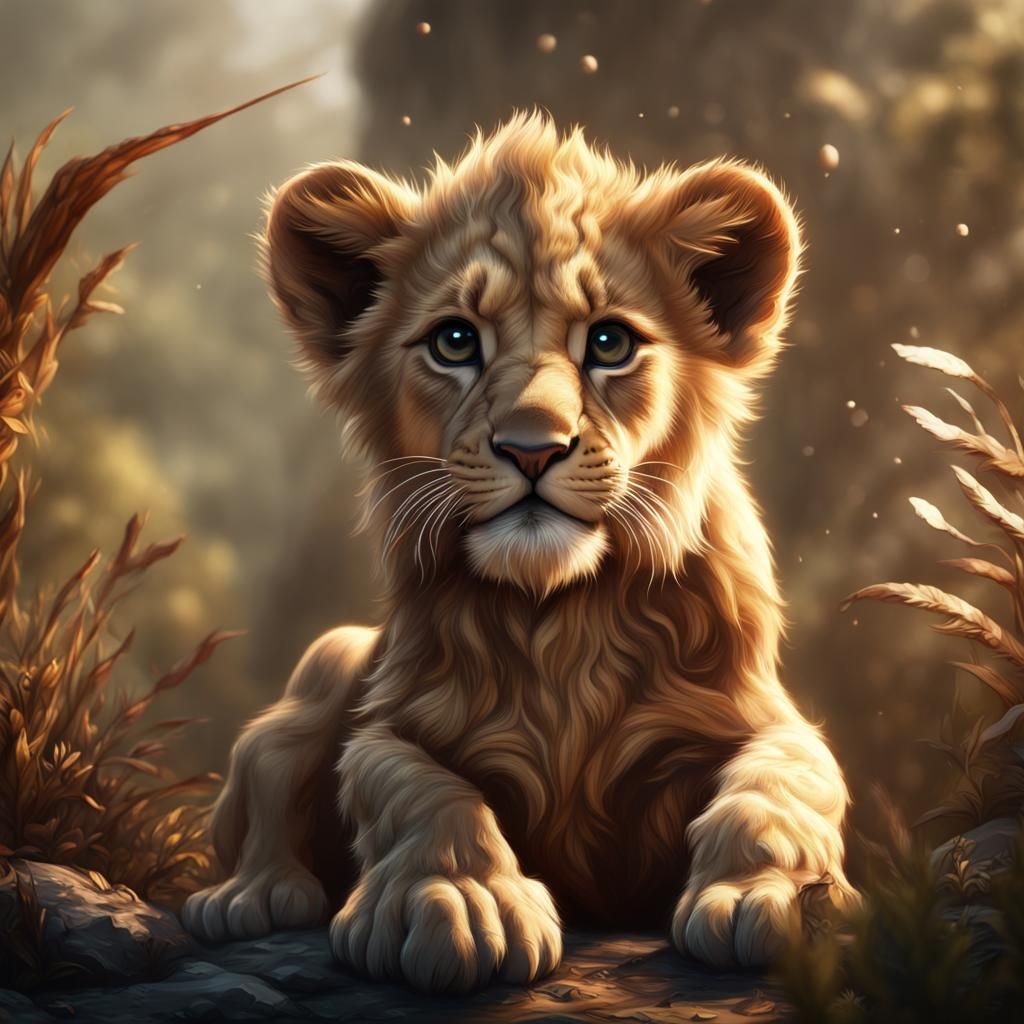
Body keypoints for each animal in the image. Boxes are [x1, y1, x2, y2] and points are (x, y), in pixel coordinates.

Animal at [181, 112, 857, 993]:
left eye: (609, 341)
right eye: (454, 341)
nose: (533, 446)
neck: (560, 618)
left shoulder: (758, 714)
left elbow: (783, 777)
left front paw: (775, 896)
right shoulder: (388, 723)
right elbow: (414, 787)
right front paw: (458, 901)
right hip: (329, 660)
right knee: (269, 765)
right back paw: (248, 897)